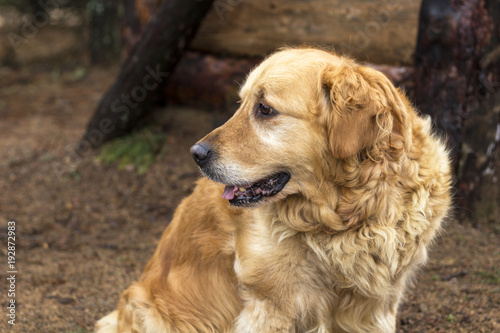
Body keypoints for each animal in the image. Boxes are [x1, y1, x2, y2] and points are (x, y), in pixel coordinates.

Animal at [94, 47, 454, 332]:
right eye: (241, 104)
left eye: (265, 109)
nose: (196, 153)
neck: (342, 217)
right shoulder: (271, 305)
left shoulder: (375, 307)